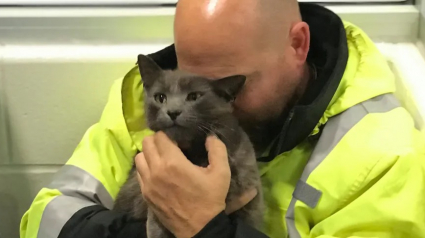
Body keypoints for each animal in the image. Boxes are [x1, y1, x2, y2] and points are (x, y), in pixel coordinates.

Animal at [114, 54, 264, 238]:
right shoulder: (156, 212)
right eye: (160, 97)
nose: (173, 111)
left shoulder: (251, 201)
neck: (194, 153)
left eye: (194, 96)